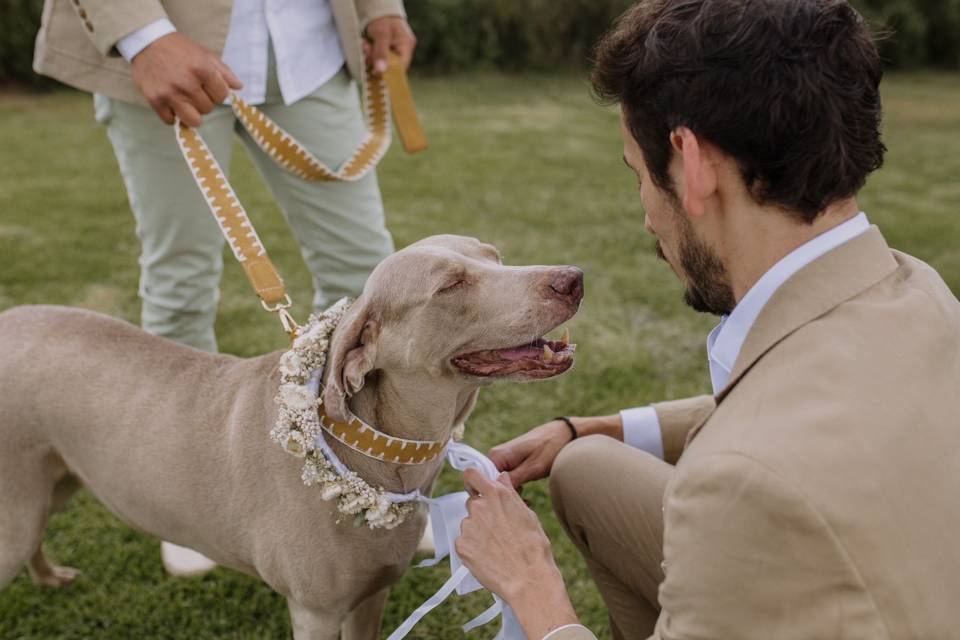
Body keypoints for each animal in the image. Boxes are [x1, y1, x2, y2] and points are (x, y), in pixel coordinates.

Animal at [0, 236, 580, 640]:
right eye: (450, 285)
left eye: (495, 257)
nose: (572, 278)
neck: (376, 453)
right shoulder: (314, 613)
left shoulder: (372, 596)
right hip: (19, 510)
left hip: (53, 485)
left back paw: (50, 578)